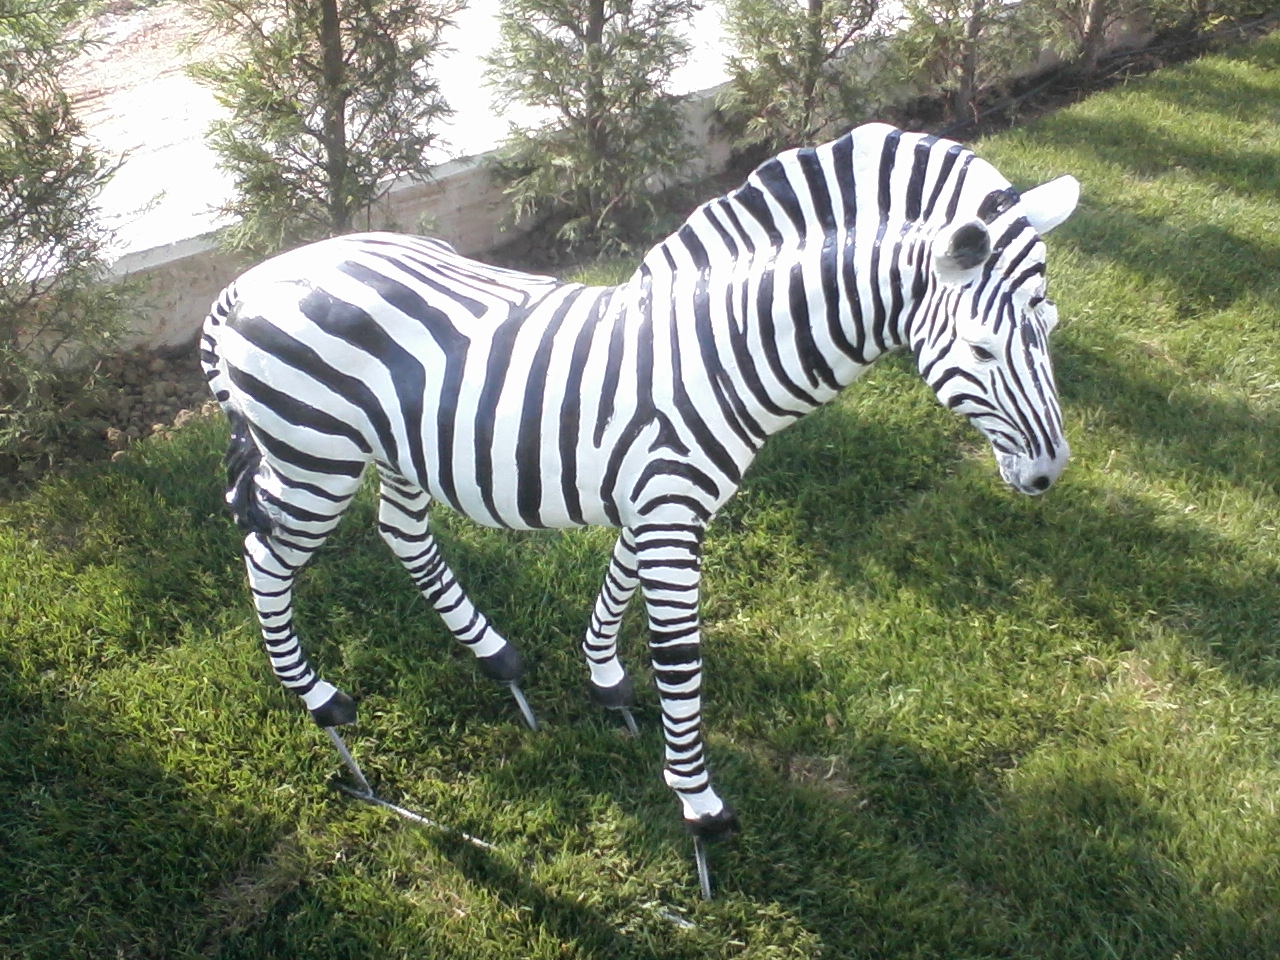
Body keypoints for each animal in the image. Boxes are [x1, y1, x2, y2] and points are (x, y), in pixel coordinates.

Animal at [200, 121, 1079, 895]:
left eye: (1050, 327)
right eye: (982, 349)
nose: (1048, 476)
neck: (724, 354)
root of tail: (251, 280)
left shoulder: (662, 501)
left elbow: (618, 587)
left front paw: (607, 687)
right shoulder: (666, 513)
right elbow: (680, 657)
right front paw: (699, 813)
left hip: (397, 448)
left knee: (401, 532)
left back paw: (500, 662)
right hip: (313, 457)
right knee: (266, 557)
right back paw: (326, 712)